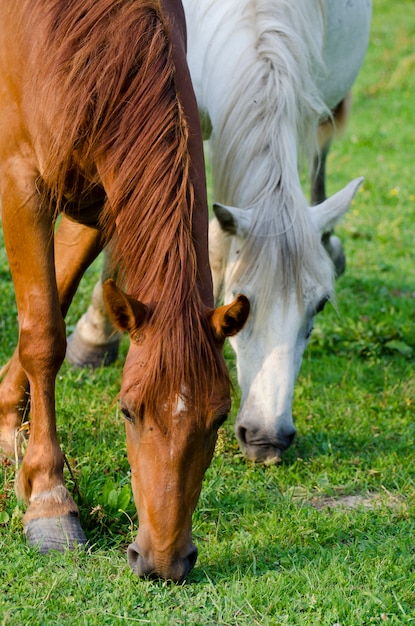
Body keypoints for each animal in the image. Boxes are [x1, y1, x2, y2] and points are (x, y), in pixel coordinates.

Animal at [0, 0, 250, 580]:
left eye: (219, 417)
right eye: (127, 411)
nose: (162, 561)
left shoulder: (100, 203)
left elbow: (54, 299)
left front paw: (6, 423)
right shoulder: (21, 184)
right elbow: (44, 335)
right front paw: (49, 499)